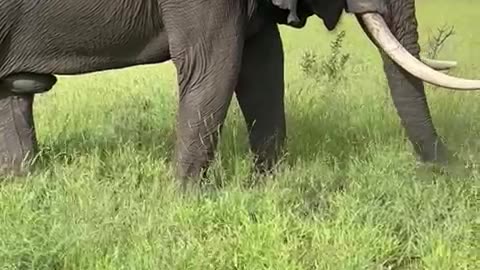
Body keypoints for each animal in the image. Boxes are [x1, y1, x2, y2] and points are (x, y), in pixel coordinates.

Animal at [0, 0, 480, 187]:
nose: (455, 170)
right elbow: (214, 67)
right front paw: (185, 198)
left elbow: (264, 65)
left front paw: (268, 186)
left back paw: (23, 182)